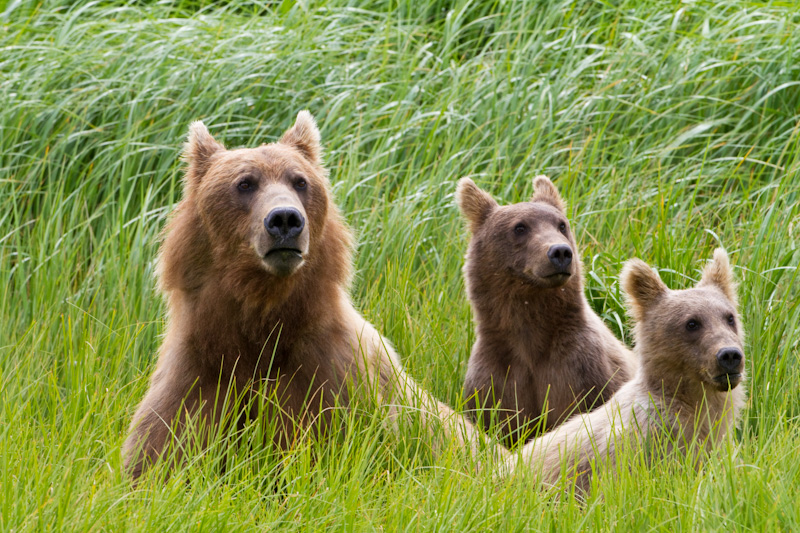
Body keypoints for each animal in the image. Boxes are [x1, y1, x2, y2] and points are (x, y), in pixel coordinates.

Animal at [124, 111, 500, 478]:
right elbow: (160, 452)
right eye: (245, 183)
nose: (285, 219)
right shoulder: (199, 373)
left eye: (300, 181)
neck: (264, 315)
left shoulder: (335, 380)